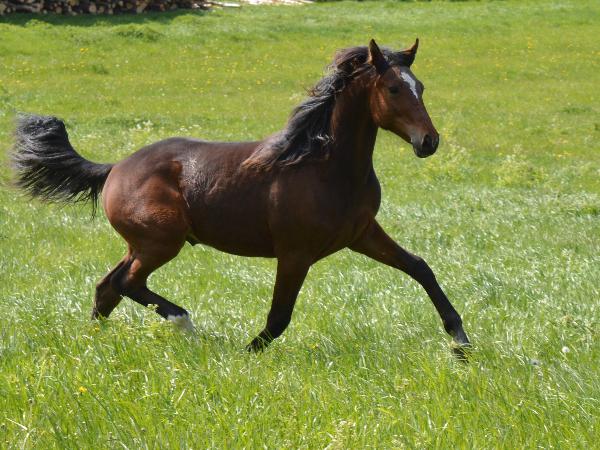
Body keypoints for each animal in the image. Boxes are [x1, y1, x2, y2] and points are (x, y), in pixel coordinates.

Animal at [11, 39, 471, 355]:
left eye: (420, 86)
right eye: (393, 89)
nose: (429, 141)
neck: (325, 166)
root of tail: (115, 168)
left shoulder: (362, 234)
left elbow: (421, 268)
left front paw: (461, 342)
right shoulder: (295, 252)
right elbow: (279, 316)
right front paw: (245, 353)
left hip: (142, 244)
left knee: (108, 286)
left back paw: (92, 341)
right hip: (162, 241)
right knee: (127, 282)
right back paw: (184, 324)